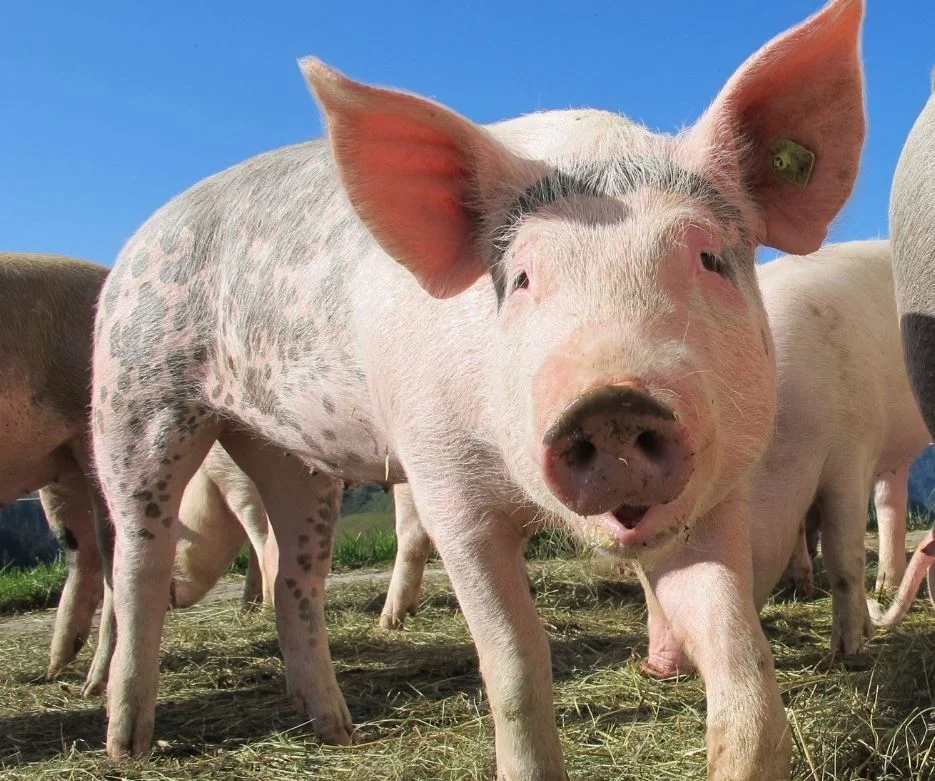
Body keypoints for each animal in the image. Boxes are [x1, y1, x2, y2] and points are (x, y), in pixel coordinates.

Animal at [90, 1, 865, 777]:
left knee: (295, 576)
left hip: (290, 454)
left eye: (708, 258)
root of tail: (139, 238)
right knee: (137, 563)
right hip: (136, 395)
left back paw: (337, 732)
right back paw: (128, 742)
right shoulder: (445, 489)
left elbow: (741, 663)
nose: (612, 404)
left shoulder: (716, 494)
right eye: (520, 278)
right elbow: (516, 667)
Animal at [642, 240, 931, 678]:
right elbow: (797, 533)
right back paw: (883, 590)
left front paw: (846, 652)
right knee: (890, 501)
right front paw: (801, 586)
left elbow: (843, 555)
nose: (654, 665)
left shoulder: (851, 453)